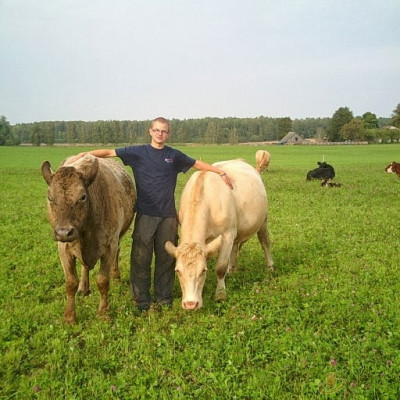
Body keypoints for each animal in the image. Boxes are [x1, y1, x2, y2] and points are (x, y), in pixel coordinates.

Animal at [41, 155, 136, 324]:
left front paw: (103, 313)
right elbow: (70, 282)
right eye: (50, 198)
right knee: (84, 267)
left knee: (117, 253)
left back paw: (116, 275)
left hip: (119, 236)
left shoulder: (110, 245)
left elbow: (102, 281)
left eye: (83, 197)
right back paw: (84, 288)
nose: (64, 232)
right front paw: (69, 317)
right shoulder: (63, 248)